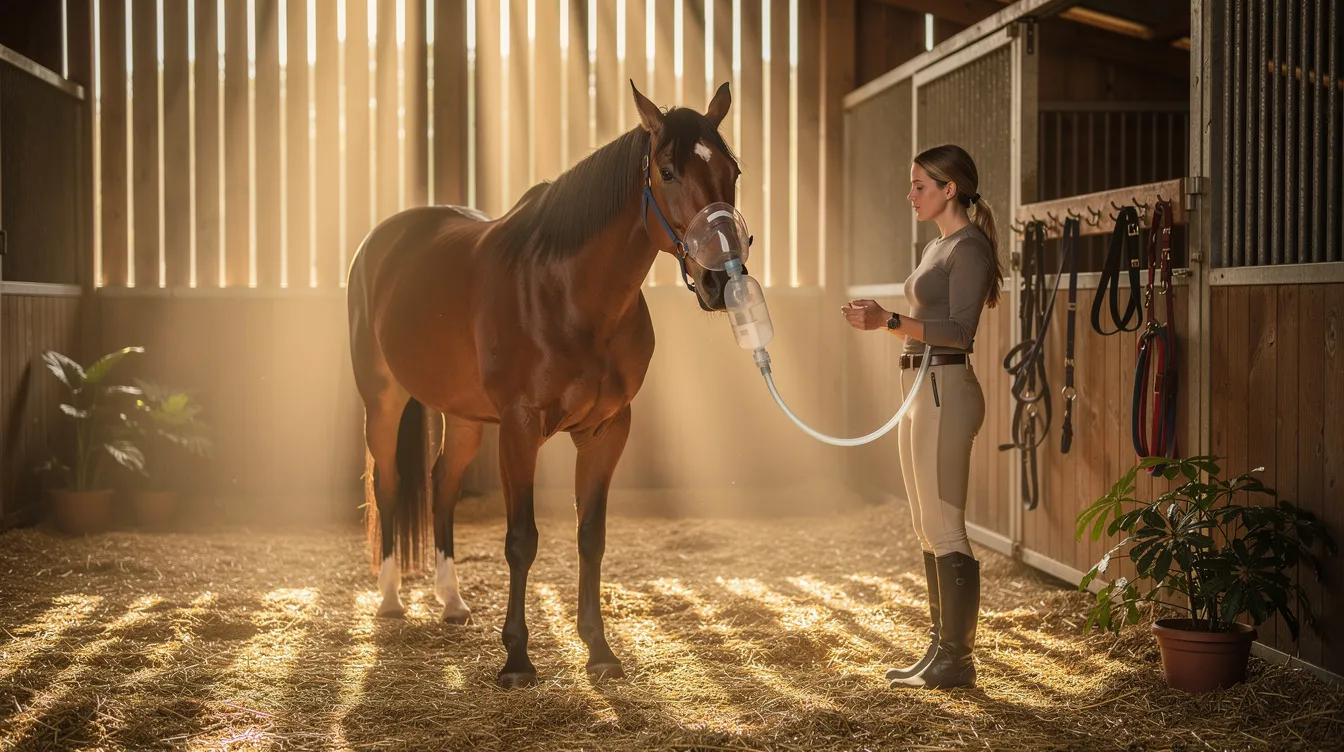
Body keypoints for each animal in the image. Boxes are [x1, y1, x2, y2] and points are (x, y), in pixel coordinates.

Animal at [346, 81, 742, 688]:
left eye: (734, 170)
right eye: (668, 171)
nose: (721, 278)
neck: (568, 293)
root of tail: (379, 242)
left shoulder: (607, 429)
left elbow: (590, 537)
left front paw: (599, 650)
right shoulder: (519, 427)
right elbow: (521, 540)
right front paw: (516, 659)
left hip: (462, 415)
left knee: (441, 484)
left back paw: (451, 602)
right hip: (382, 398)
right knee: (389, 485)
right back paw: (391, 601)